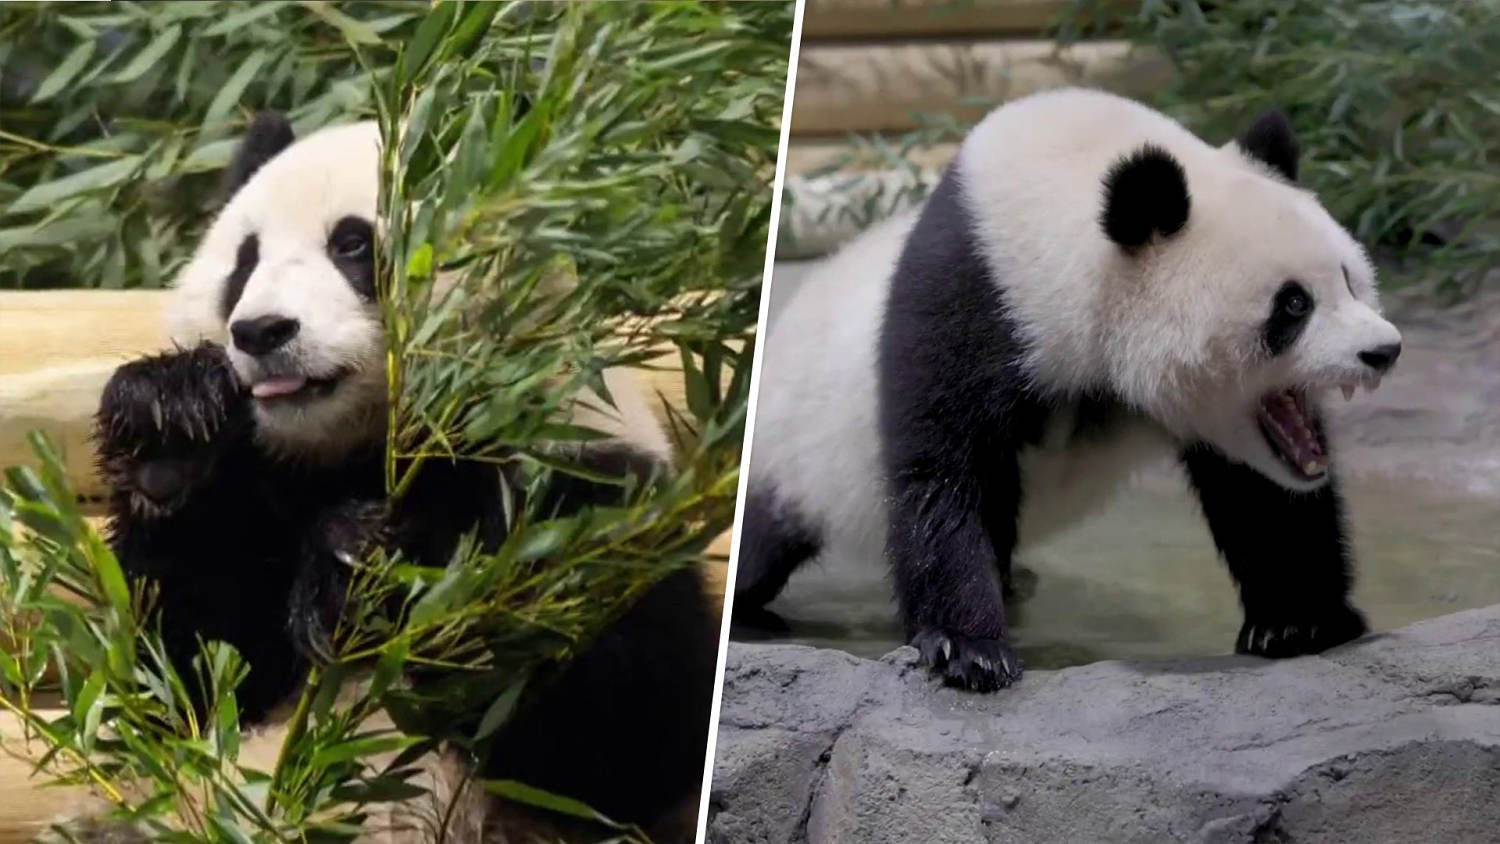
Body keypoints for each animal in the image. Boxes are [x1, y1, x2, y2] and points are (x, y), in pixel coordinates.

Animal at [89, 112, 720, 839]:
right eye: (244, 260)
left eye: (353, 243)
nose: (261, 331)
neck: (365, 445)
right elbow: (171, 686)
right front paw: (169, 422)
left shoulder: (589, 482)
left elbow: (622, 721)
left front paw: (360, 559)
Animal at [738, 87, 1404, 692]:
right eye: (1293, 304)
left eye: (1350, 279)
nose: (1384, 351)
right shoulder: (973, 297)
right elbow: (944, 469)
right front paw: (969, 651)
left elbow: (1263, 496)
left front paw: (1299, 623)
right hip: (788, 450)